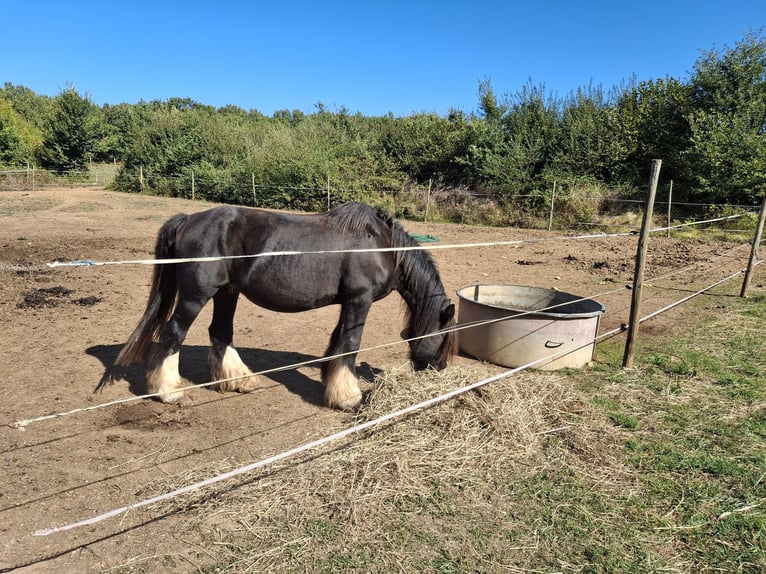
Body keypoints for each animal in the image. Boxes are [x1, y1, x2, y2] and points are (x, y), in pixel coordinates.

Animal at [117, 202, 460, 410]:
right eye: (444, 338)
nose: (439, 368)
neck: (382, 245)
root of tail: (188, 220)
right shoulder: (359, 301)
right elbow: (350, 345)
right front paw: (348, 397)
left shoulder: (347, 303)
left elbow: (337, 343)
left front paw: (331, 382)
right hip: (195, 297)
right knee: (173, 334)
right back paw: (169, 391)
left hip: (227, 293)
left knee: (220, 332)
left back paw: (239, 380)